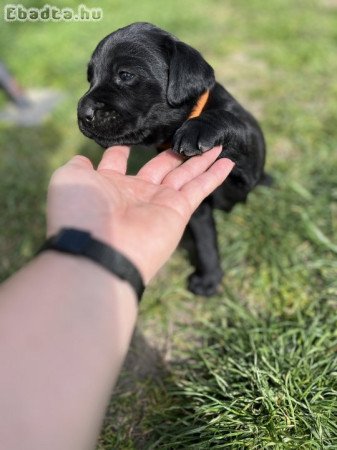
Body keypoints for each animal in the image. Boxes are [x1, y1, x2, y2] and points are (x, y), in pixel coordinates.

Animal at [77, 22, 266, 296]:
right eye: (90, 78)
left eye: (125, 75)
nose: (82, 113)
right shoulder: (198, 208)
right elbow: (205, 239)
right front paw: (209, 278)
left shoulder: (246, 171)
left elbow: (231, 121)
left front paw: (198, 128)